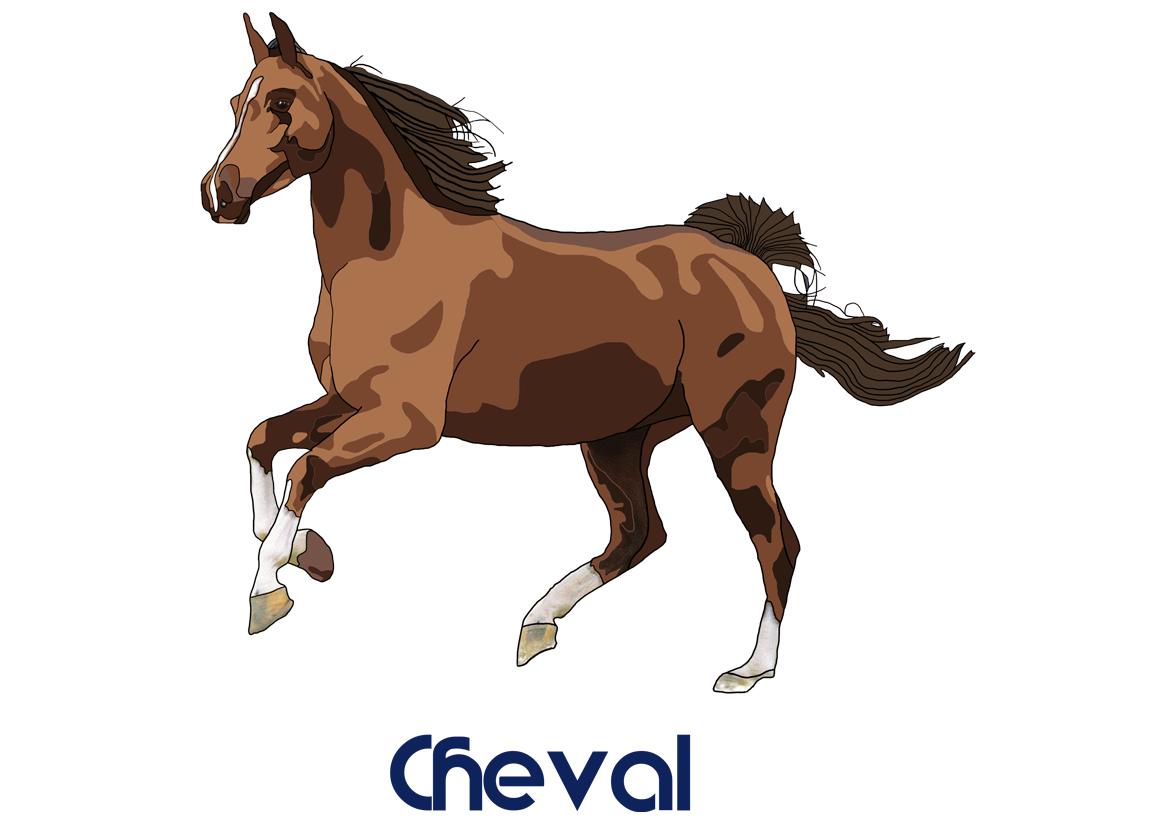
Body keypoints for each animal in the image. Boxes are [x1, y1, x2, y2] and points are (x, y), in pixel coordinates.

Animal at [202, 13, 972, 693]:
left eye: (280, 101)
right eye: (239, 102)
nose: (219, 192)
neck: (388, 258)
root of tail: (749, 267)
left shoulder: (404, 420)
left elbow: (305, 468)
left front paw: (269, 590)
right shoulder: (349, 400)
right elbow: (264, 440)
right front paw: (304, 552)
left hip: (736, 432)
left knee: (775, 541)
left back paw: (748, 672)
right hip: (618, 438)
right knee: (639, 534)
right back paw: (537, 625)